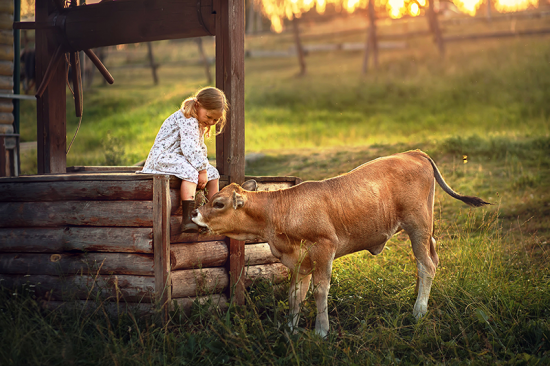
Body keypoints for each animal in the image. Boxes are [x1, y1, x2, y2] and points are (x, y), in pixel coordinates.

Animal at [194, 149, 492, 338]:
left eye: (218, 203)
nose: (195, 213)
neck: (281, 210)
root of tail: (414, 152)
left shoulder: (324, 248)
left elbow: (320, 291)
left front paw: (321, 330)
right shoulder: (298, 260)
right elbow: (295, 294)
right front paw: (291, 329)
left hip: (417, 224)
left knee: (426, 265)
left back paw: (419, 311)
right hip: (425, 229)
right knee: (429, 260)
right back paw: (418, 299)